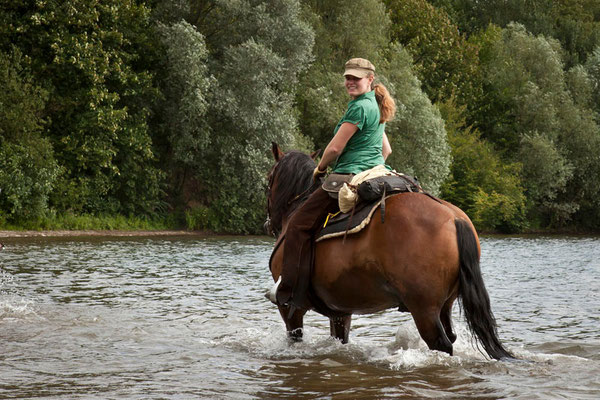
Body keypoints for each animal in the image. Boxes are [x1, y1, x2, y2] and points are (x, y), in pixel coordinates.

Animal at [264, 143, 512, 360]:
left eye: (268, 179)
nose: (268, 223)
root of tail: (454, 217)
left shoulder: (291, 308)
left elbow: (294, 338)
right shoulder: (341, 311)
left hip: (424, 309)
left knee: (440, 343)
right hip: (445, 304)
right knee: (450, 336)